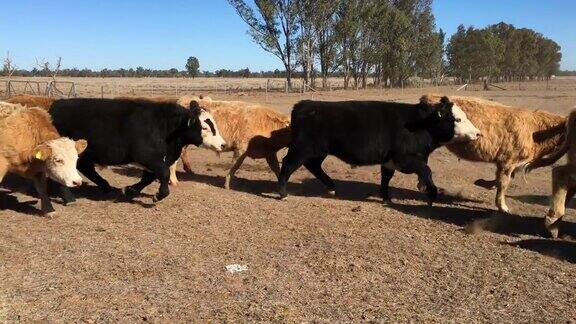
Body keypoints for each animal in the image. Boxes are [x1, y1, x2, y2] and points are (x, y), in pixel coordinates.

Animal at [49, 98, 225, 202]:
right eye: (204, 127)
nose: (223, 144)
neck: (164, 127)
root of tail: (56, 105)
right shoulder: (148, 158)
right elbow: (163, 174)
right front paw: (159, 195)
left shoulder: (156, 161)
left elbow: (148, 178)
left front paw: (130, 190)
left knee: (86, 168)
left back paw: (106, 187)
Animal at [276, 96, 480, 204]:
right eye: (457, 119)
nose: (478, 133)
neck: (420, 125)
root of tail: (305, 104)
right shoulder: (406, 159)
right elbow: (426, 171)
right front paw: (431, 194)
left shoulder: (388, 161)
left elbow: (385, 179)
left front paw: (386, 198)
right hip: (301, 149)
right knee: (287, 164)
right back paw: (283, 193)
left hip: (317, 152)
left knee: (313, 166)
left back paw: (331, 187)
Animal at [420, 93, 564, 213]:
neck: (536, 130)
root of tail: (428, 96)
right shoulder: (507, 161)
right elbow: (503, 183)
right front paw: (502, 206)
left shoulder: (509, 163)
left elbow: (502, 179)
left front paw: (483, 183)